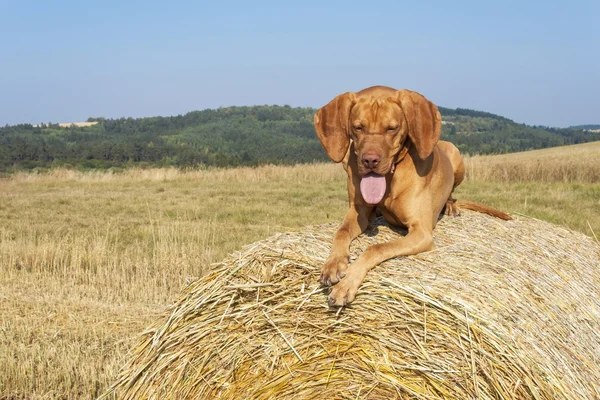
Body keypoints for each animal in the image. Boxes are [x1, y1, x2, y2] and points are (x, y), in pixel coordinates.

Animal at [314, 85, 510, 306]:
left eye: (392, 128)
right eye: (358, 127)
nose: (369, 161)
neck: (389, 180)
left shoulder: (421, 232)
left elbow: (376, 248)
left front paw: (346, 284)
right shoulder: (358, 211)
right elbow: (341, 232)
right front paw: (333, 263)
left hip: (455, 154)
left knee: (452, 193)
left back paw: (451, 205)